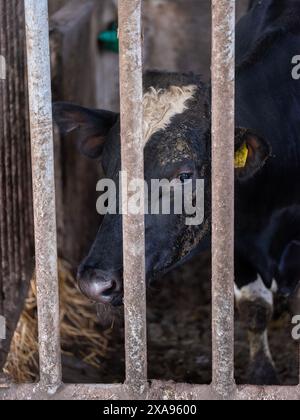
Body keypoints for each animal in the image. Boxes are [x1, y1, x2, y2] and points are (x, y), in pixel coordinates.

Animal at [52, 0, 300, 384]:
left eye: (184, 175)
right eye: (107, 168)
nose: (95, 282)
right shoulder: (237, 240)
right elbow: (254, 308)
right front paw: (262, 375)